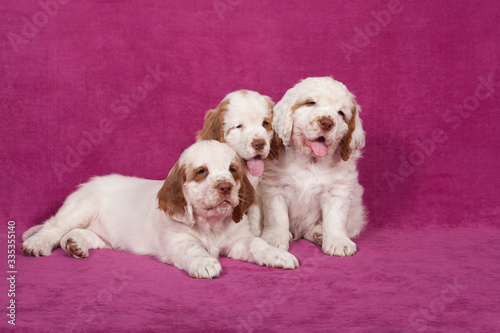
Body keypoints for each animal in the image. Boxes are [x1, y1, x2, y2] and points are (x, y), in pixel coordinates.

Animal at [21, 140, 298, 278]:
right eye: (202, 172)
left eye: (233, 171)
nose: (225, 187)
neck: (211, 225)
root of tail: (87, 184)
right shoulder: (177, 241)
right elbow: (194, 249)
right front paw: (206, 263)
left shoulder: (239, 241)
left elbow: (258, 245)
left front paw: (279, 255)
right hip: (81, 207)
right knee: (53, 227)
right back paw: (37, 244)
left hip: (104, 236)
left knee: (83, 235)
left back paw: (75, 245)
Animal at [258, 78, 368, 256]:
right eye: (311, 103)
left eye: (341, 113)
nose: (327, 123)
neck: (310, 161)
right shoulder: (274, 188)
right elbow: (277, 217)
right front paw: (274, 239)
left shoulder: (338, 191)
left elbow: (336, 219)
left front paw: (338, 242)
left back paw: (319, 233)